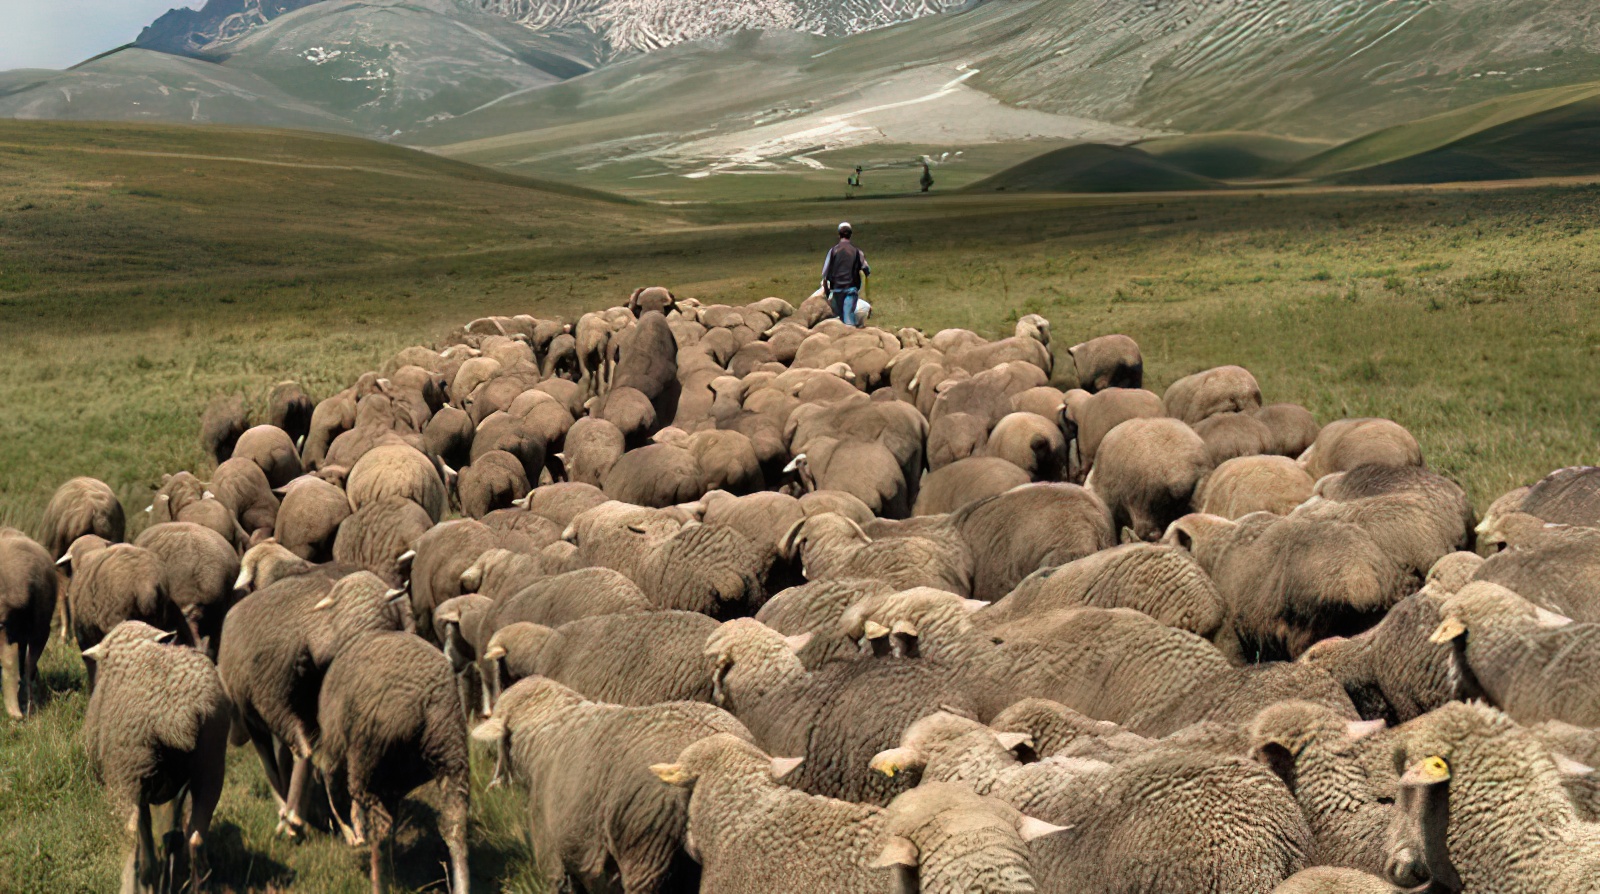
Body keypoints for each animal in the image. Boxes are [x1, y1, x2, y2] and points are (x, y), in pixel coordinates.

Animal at [81, 623, 228, 894]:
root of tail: (180, 716)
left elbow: (145, 833)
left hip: (127, 775)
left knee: (131, 836)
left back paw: (132, 882)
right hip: (212, 763)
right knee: (195, 837)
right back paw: (196, 885)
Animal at [315, 630, 467, 894]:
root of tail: (429, 700)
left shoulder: (337, 754)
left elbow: (337, 798)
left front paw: (353, 835)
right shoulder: (393, 784)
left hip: (366, 753)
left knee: (377, 822)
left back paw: (376, 875)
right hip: (451, 752)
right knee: (455, 824)